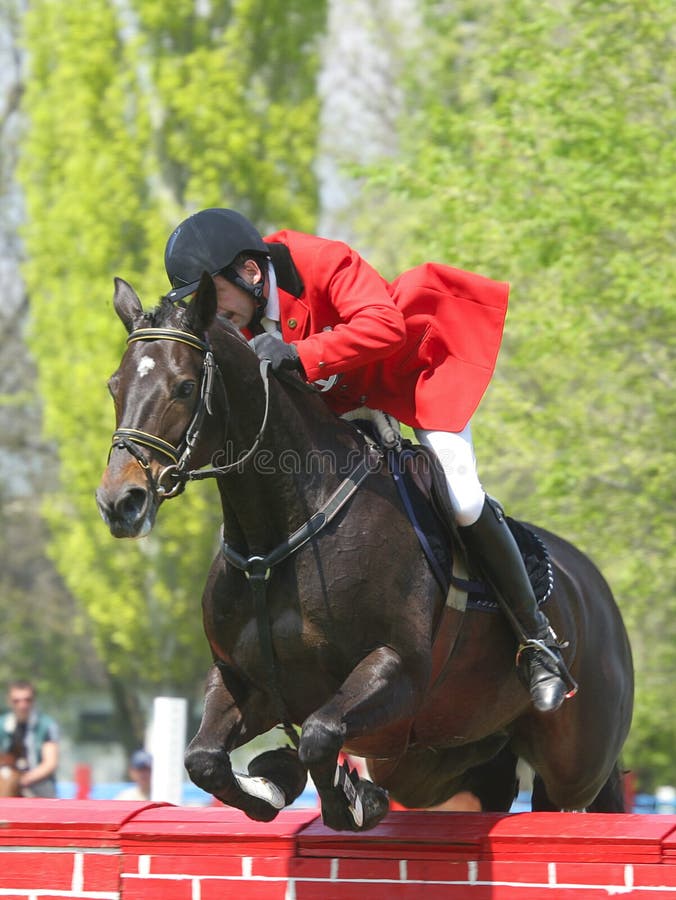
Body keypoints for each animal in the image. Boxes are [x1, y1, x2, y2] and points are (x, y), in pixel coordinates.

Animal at [95, 276, 632, 828]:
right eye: (115, 386)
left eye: (184, 387)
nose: (120, 503)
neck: (277, 534)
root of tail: (595, 588)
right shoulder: (245, 682)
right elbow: (204, 759)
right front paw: (272, 781)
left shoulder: (396, 669)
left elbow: (319, 735)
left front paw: (351, 800)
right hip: (444, 763)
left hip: (572, 767)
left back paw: (545, 667)